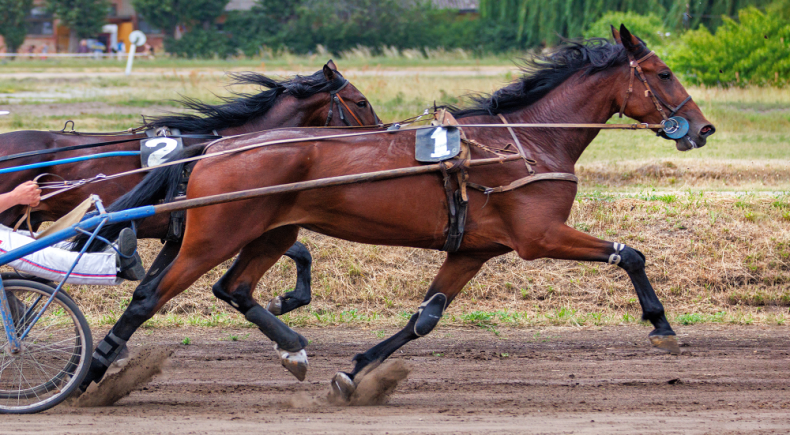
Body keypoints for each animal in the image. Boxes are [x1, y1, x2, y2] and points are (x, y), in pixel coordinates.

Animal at [80, 24, 716, 398]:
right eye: (663, 74)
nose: (703, 128)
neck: (526, 142)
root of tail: (213, 147)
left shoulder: (474, 249)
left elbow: (425, 318)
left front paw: (356, 370)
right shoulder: (540, 235)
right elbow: (629, 254)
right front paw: (661, 326)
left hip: (269, 231)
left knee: (234, 288)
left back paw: (293, 349)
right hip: (213, 235)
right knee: (149, 298)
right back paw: (92, 373)